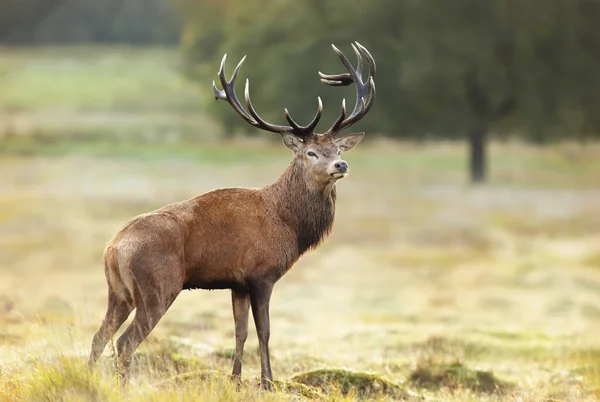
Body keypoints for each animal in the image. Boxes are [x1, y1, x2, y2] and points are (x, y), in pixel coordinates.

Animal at [85, 41, 376, 390]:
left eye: (339, 150)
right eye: (311, 152)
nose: (341, 165)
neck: (289, 224)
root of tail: (112, 249)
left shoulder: (236, 282)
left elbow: (240, 332)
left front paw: (236, 379)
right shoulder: (261, 273)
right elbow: (265, 331)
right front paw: (267, 381)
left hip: (118, 293)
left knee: (98, 338)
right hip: (157, 287)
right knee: (124, 342)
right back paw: (123, 385)